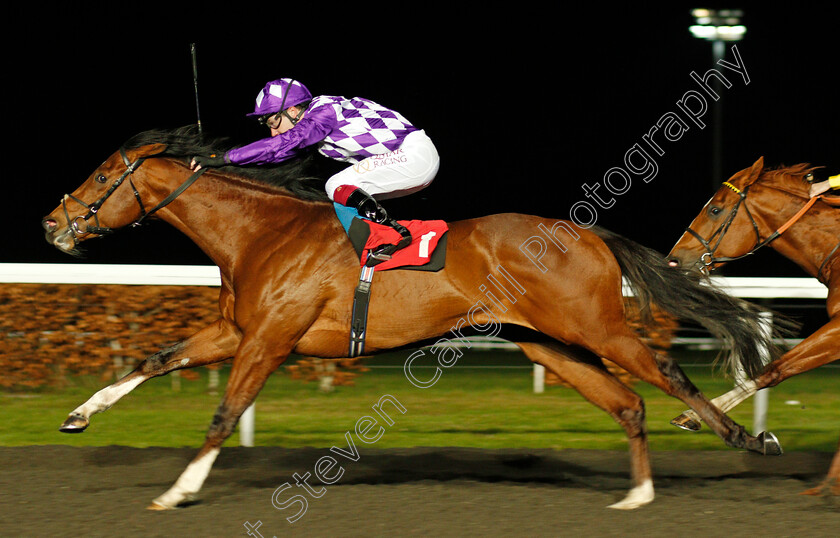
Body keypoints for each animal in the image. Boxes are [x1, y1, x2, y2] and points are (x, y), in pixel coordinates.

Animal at [42, 125, 784, 506]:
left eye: (102, 176)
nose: (52, 223)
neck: (261, 233)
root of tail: (591, 234)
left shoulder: (271, 340)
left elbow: (225, 413)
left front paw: (179, 490)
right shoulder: (237, 331)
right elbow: (155, 357)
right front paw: (79, 415)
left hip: (595, 327)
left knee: (667, 375)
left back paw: (749, 440)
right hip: (546, 342)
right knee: (628, 402)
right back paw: (638, 496)